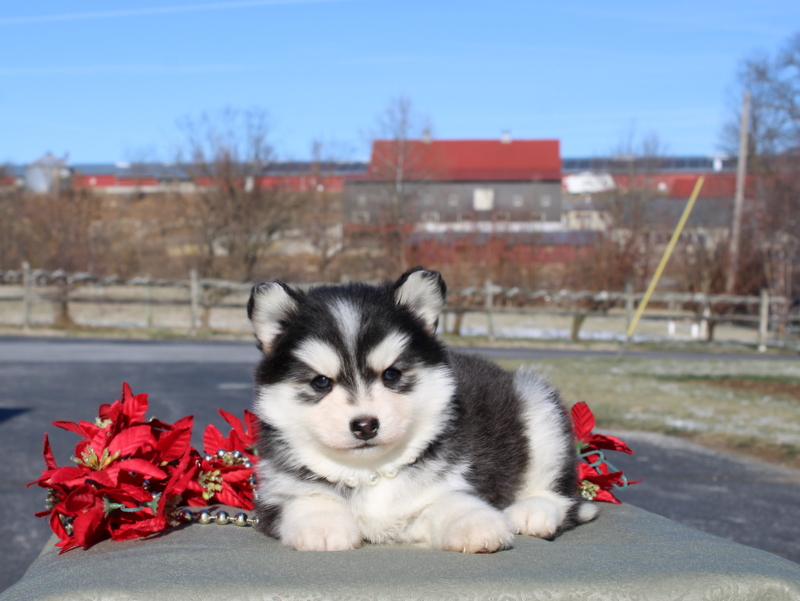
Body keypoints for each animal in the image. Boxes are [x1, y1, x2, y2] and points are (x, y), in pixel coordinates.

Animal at [247, 268, 596, 552]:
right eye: (321, 382)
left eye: (391, 374)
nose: (365, 425)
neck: (371, 472)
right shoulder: (275, 495)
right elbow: (305, 499)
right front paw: (323, 523)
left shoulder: (446, 485)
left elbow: (450, 501)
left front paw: (477, 524)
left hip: (537, 408)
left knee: (561, 493)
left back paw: (533, 511)